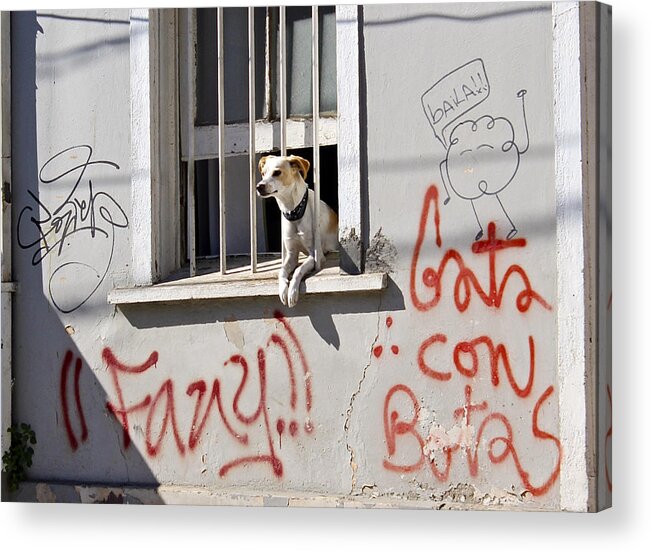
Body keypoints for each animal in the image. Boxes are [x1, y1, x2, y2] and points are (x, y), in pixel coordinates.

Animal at [258, 155, 338, 308]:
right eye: (263, 173)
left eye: (277, 172)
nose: (259, 186)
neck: (294, 211)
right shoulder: (291, 254)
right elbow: (282, 271)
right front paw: (283, 290)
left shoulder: (315, 255)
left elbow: (298, 270)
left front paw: (292, 292)